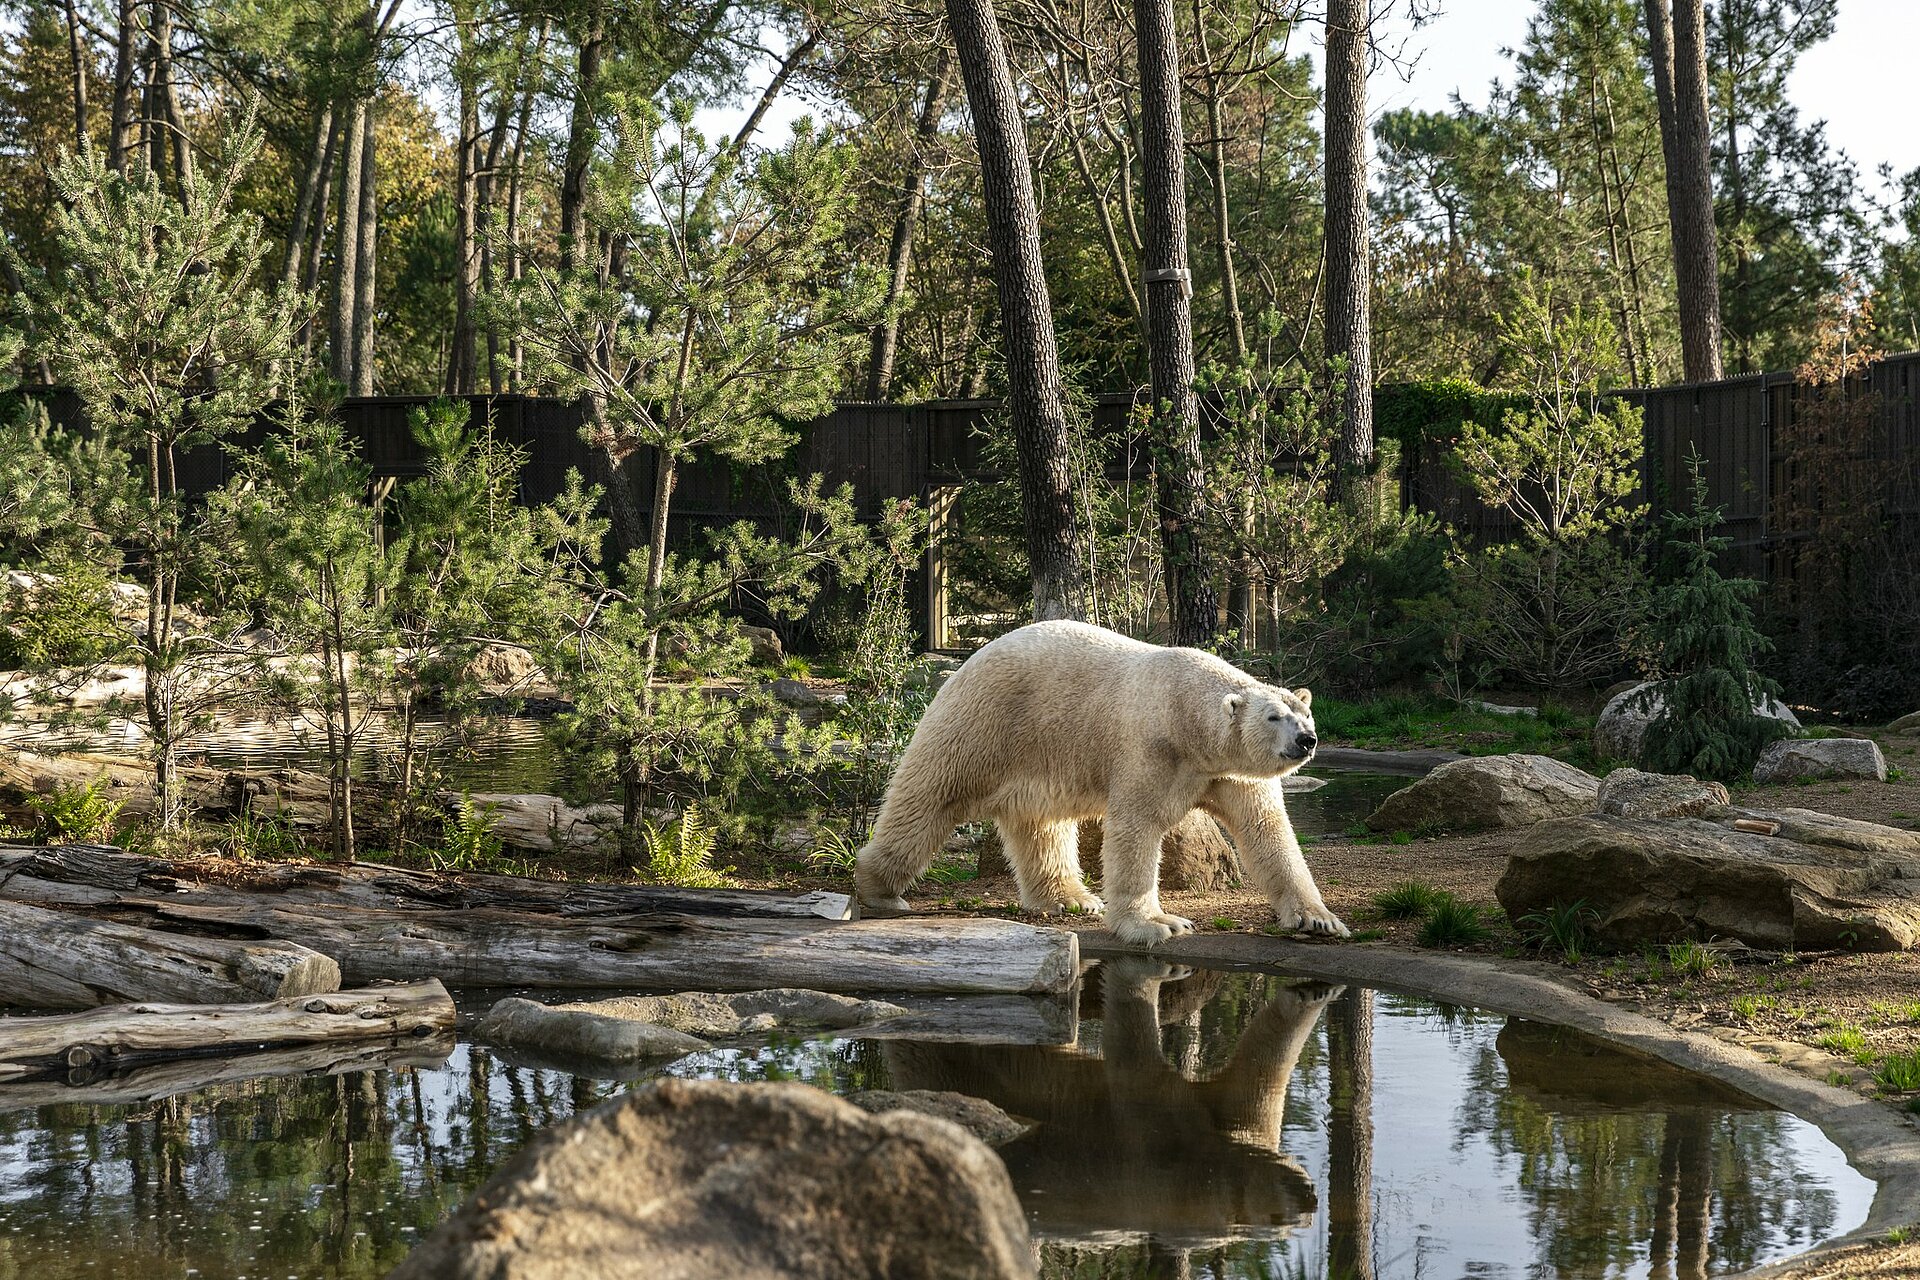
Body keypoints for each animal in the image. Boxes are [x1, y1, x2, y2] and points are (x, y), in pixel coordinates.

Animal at [856, 625, 1351, 948]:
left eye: (1305, 714)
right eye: (1273, 716)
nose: (1307, 740)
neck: (1186, 717)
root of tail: (967, 660)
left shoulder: (1229, 771)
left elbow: (1267, 832)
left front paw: (1319, 920)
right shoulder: (1149, 748)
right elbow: (1135, 827)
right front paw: (1159, 924)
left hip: (1038, 753)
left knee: (1041, 825)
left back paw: (1071, 899)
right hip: (984, 724)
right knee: (929, 796)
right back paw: (879, 888)